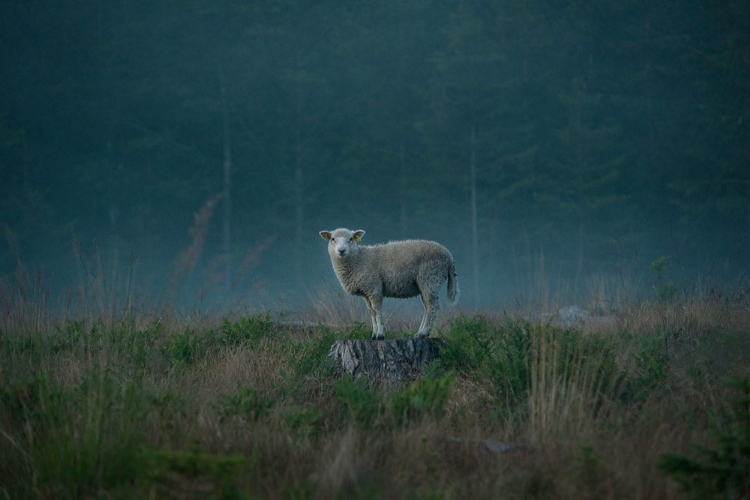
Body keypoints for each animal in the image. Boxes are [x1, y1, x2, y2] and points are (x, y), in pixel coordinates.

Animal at [318, 228, 458, 340]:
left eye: (351, 239)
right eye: (333, 239)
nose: (341, 251)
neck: (359, 259)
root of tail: (448, 255)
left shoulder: (374, 286)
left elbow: (377, 310)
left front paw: (380, 334)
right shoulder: (366, 291)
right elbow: (372, 312)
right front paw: (374, 334)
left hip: (430, 278)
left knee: (433, 306)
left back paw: (424, 333)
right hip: (426, 283)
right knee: (427, 307)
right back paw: (420, 333)